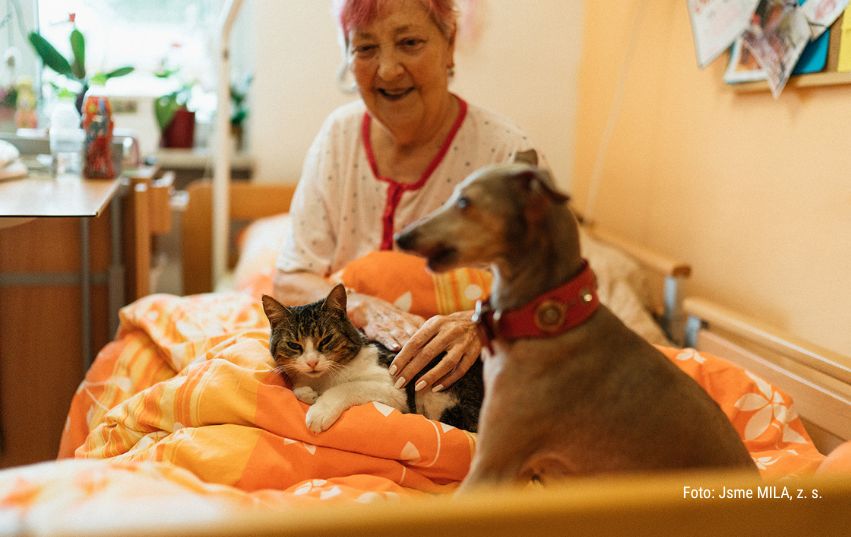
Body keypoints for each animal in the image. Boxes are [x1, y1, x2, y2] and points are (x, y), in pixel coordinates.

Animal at [262, 284, 482, 432]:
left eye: (326, 340)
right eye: (294, 345)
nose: (312, 362)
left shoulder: (395, 386)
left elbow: (348, 387)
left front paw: (319, 411)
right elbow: (298, 386)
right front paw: (307, 393)